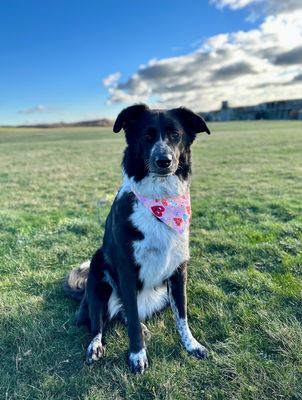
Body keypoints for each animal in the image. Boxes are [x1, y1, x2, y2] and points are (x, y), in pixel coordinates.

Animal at [64, 103, 210, 372]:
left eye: (176, 135)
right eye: (147, 136)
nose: (164, 161)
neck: (161, 199)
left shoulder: (179, 271)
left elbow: (182, 316)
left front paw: (191, 345)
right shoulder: (127, 273)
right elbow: (130, 316)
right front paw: (137, 355)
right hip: (97, 274)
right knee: (99, 322)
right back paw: (96, 345)